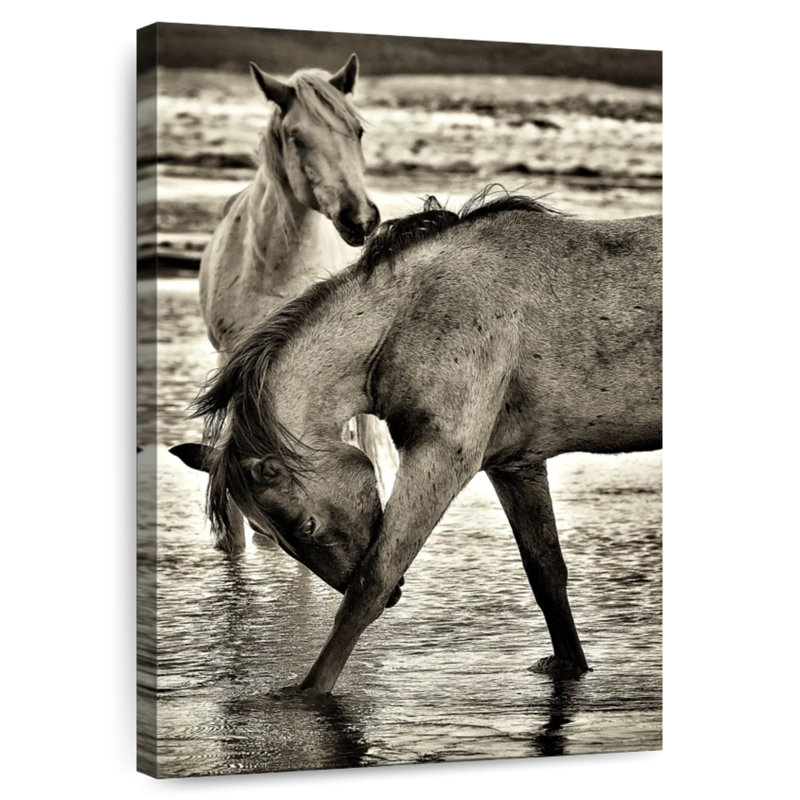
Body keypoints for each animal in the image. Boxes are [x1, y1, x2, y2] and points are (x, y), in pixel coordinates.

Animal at [172, 189, 662, 694]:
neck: (414, 317)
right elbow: (546, 574)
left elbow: (370, 583)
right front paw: (569, 665)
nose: (398, 600)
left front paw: (309, 692)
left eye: (306, 526)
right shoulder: (515, 464)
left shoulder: (442, 456)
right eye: (263, 532)